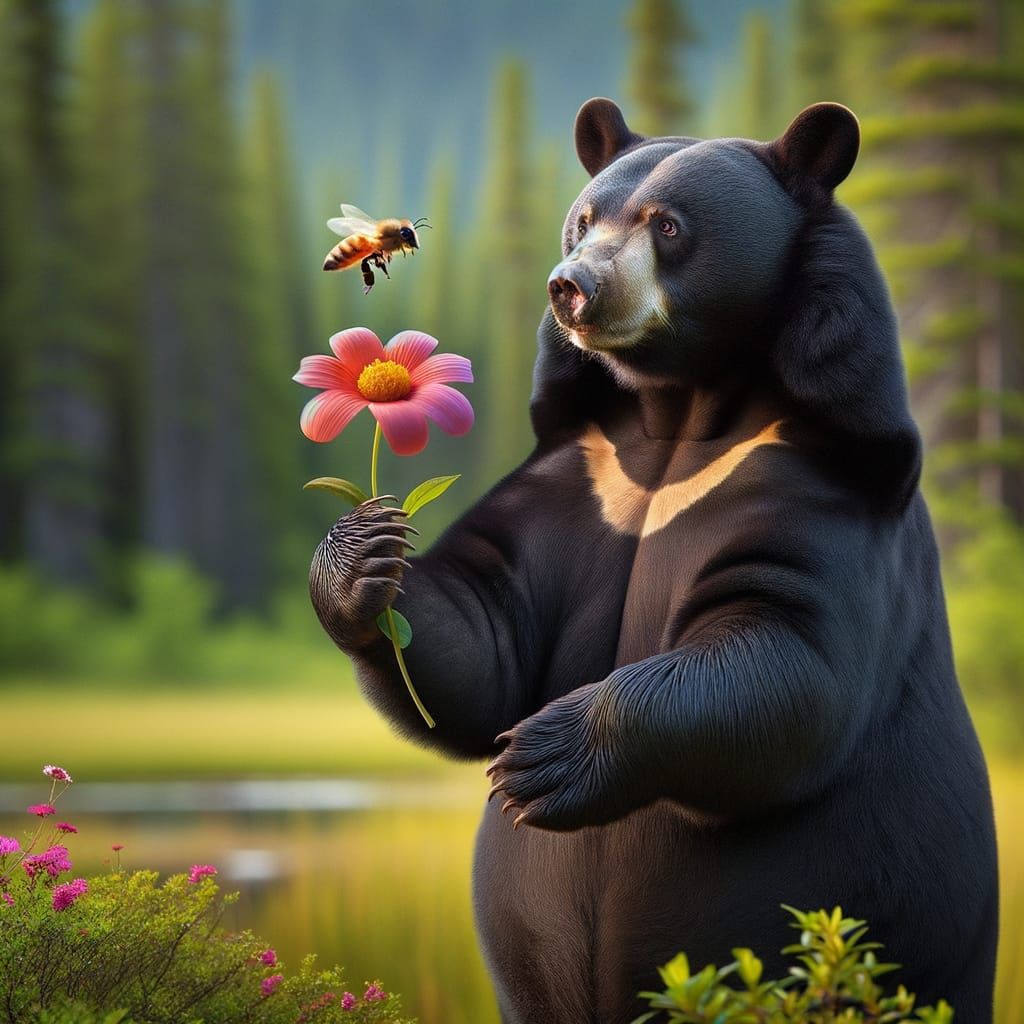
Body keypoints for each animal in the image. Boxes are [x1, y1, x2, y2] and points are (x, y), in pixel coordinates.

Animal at [308, 99, 999, 1024]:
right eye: (583, 218)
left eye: (667, 226)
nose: (572, 284)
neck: (679, 421)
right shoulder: (582, 479)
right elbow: (487, 635)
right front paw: (361, 557)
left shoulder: (817, 488)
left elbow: (787, 652)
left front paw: (544, 756)